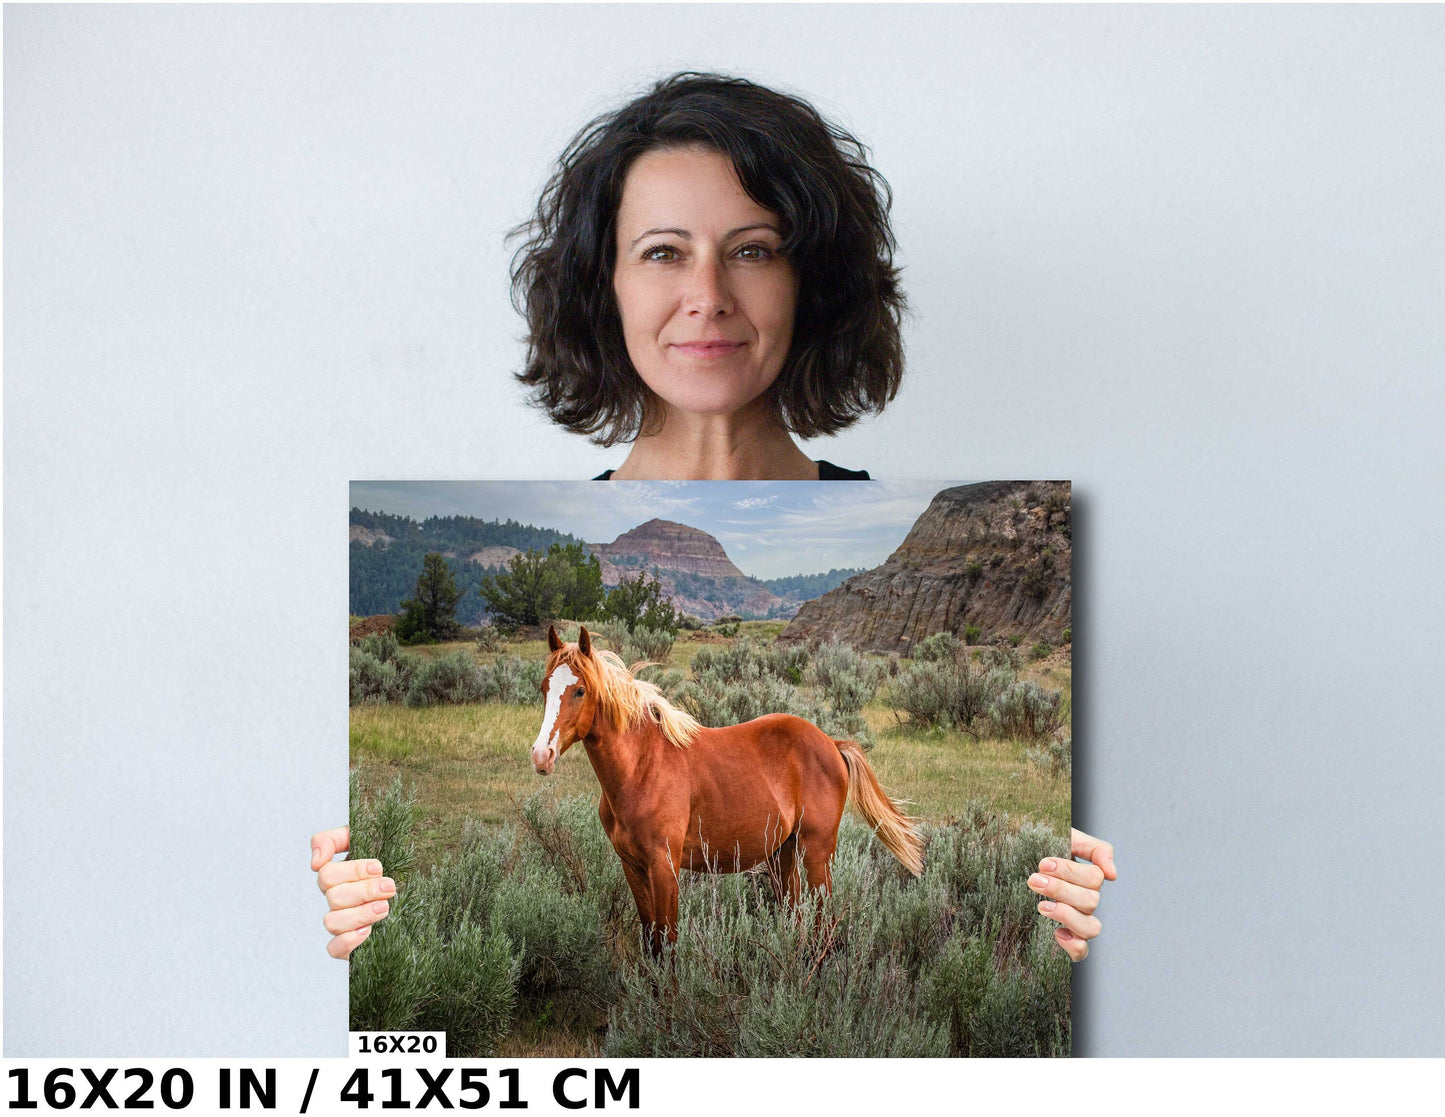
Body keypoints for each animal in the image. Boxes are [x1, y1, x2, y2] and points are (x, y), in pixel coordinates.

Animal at [531, 624, 924, 953]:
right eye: (545, 688)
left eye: (580, 690)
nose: (541, 755)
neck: (641, 768)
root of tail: (831, 743)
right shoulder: (632, 867)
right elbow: (651, 942)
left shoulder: (664, 867)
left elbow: (668, 944)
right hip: (783, 854)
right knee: (795, 919)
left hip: (817, 852)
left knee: (821, 925)